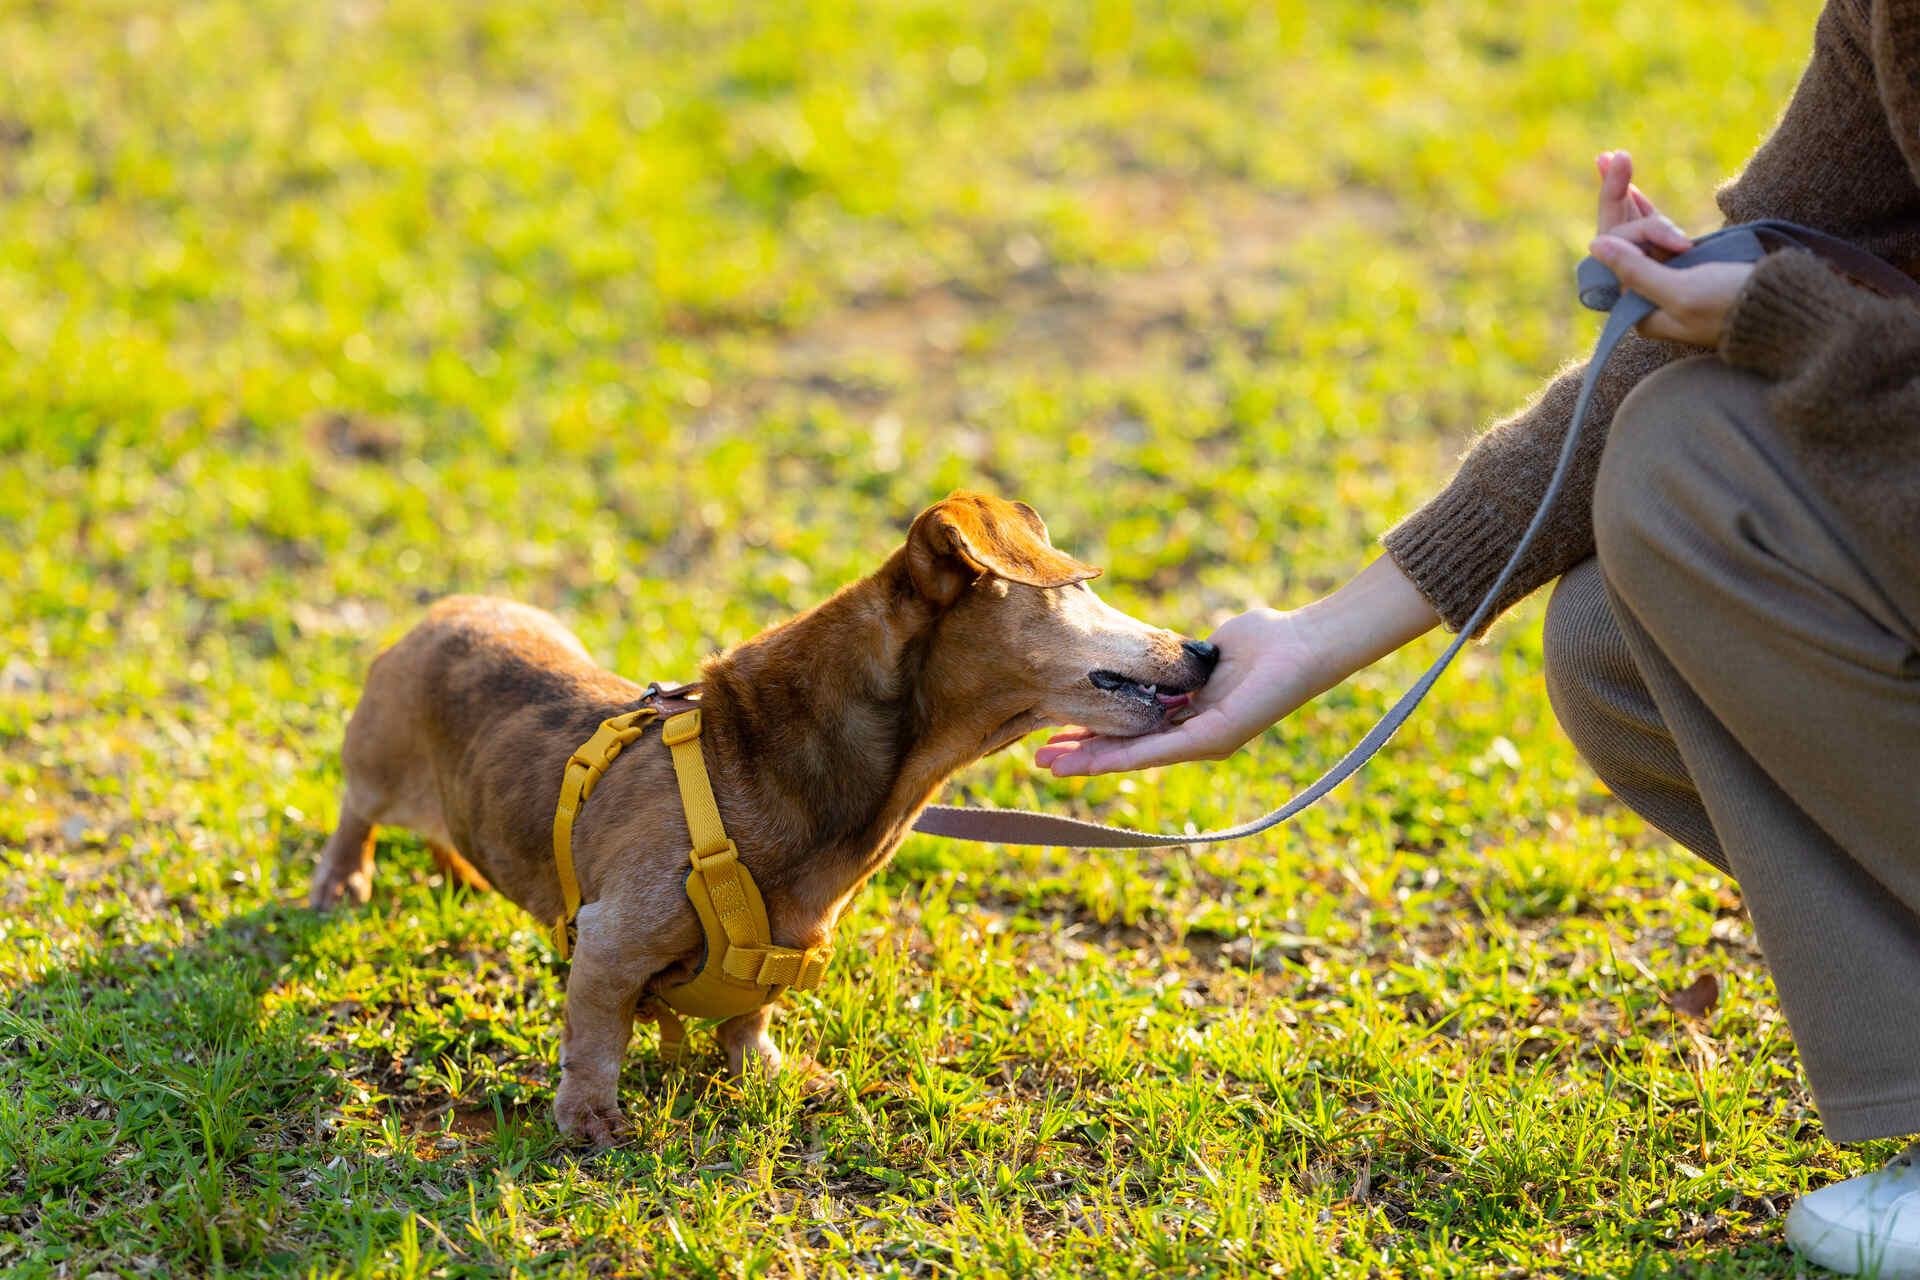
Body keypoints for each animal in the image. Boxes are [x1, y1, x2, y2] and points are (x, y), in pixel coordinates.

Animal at [311, 495, 1213, 1143]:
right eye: (1079, 589)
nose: (1207, 651)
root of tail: (444, 610)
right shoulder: (610, 940)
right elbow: (597, 1038)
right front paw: (590, 1118)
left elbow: (750, 1016)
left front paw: (770, 1073)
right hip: (378, 766)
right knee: (355, 812)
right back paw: (342, 880)